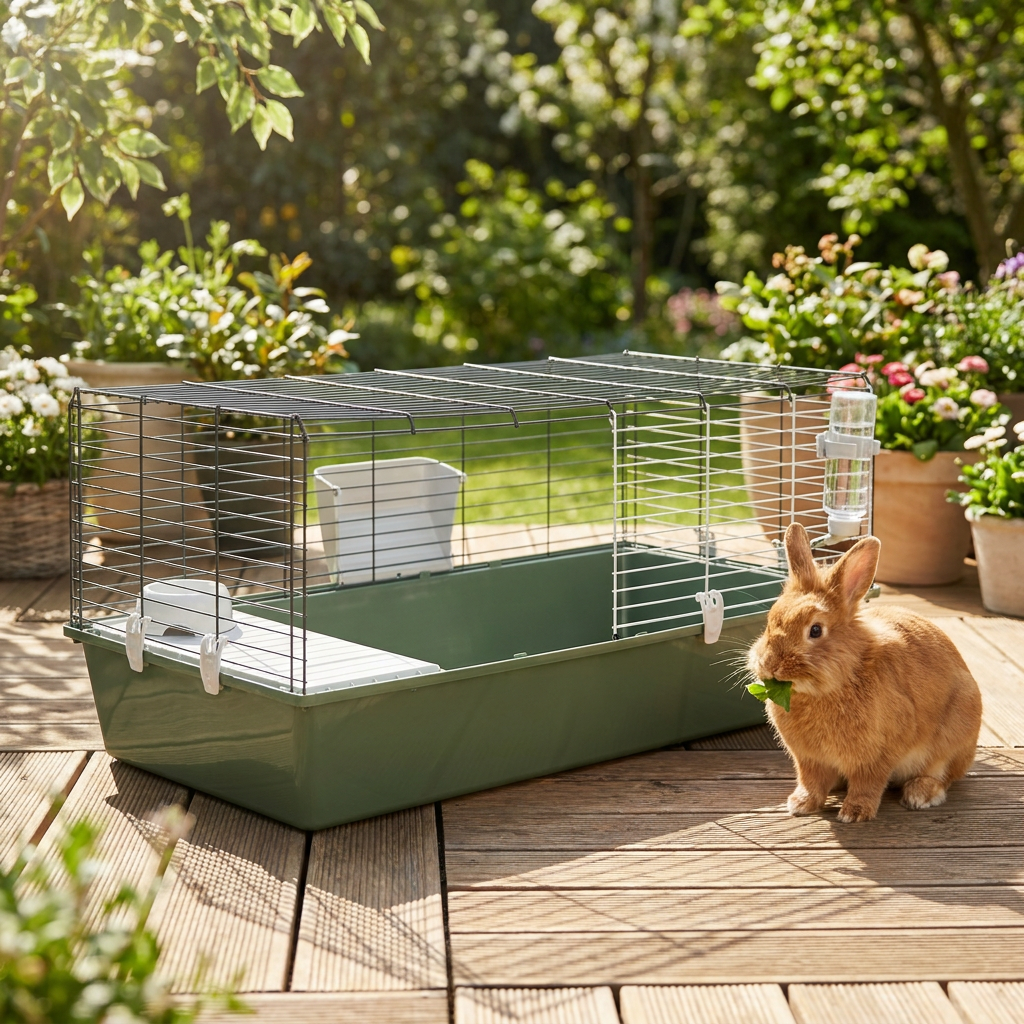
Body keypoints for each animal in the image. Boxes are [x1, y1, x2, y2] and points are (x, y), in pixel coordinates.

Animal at [747, 522, 982, 823]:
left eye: (815, 630)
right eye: (769, 621)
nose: (768, 664)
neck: (841, 679)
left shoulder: (877, 756)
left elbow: (867, 783)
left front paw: (854, 813)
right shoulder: (809, 759)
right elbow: (811, 781)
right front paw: (801, 804)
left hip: (954, 735)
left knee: (942, 774)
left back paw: (920, 794)